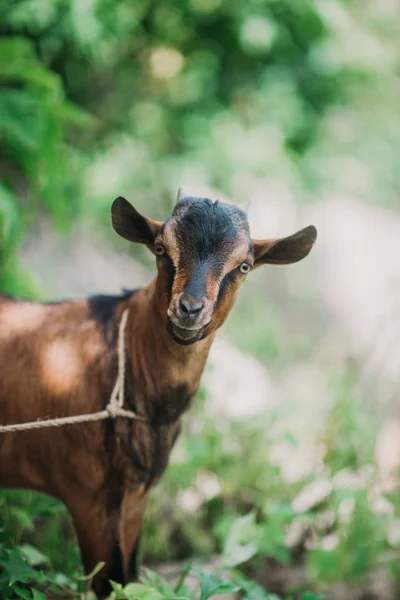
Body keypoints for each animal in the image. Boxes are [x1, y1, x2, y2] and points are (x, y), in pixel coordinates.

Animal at [0, 191, 318, 596]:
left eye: (244, 266)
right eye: (160, 248)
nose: (189, 309)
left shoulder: (135, 499)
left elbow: (129, 577)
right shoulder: (87, 495)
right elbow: (112, 583)